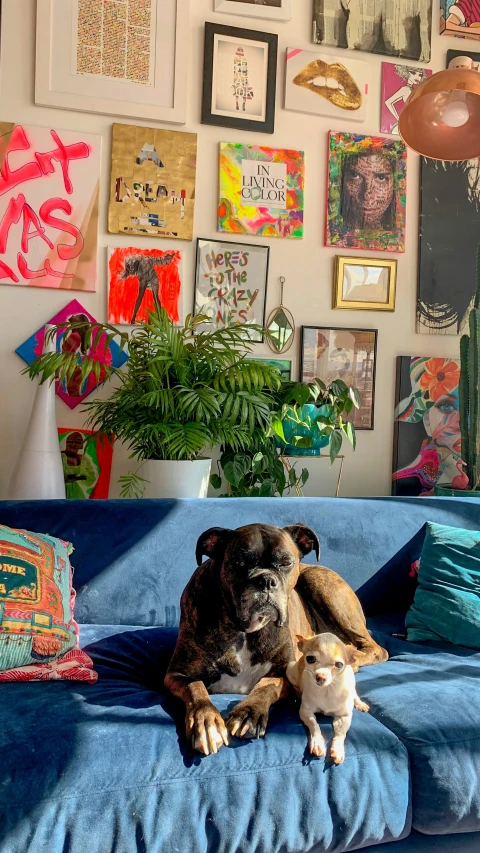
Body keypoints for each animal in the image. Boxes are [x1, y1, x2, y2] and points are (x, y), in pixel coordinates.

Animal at [165, 524, 386, 756]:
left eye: (286, 563)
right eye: (240, 561)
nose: (266, 580)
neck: (244, 631)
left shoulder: (286, 672)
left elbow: (267, 684)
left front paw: (249, 713)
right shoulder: (177, 674)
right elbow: (196, 688)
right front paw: (207, 721)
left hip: (321, 583)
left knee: (376, 649)